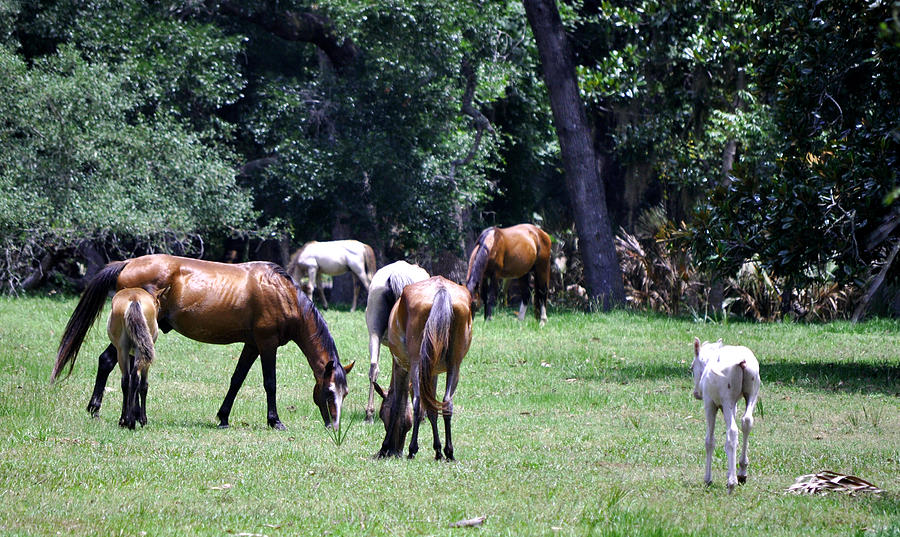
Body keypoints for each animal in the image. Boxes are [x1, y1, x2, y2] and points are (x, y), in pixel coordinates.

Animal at [106, 286, 159, 430]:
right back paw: (131, 421)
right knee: (134, 379)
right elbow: (144, 385)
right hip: (137, 352)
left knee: (127, 380)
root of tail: (134, 298)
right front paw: (142, 419)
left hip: (123, 350)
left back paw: (126, 420)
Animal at [374, 276, 472, 460]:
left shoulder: (401, 367)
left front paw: (383, 447)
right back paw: (449, 452)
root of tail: (441, 289)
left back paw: (412, 449)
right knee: (447, 403)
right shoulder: (432, 373)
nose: (395, 451)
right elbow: (432, 408)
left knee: (418, 403)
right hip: (454, 365)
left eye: (382, 415)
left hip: (416, 364)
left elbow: (397, 404)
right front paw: (438, 450)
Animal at [692, 338, 764, 492]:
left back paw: (732, 482)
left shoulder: (710, 403)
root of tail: (742, 362)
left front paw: (708, 478)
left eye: (692, 367)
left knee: (732, 430)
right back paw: (741, 472)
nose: (696, 393)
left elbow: (710, 440)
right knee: (747, 421)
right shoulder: (734, 405)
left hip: (726, 399)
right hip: (752, 392)